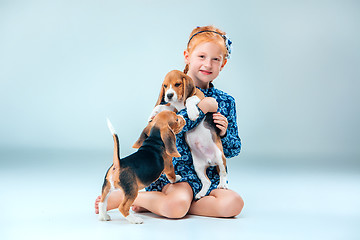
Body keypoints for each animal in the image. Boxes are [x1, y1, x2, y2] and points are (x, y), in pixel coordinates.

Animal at [150, 70, 229, 201]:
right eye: (165, 86)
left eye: (177, 84)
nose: (169, 95)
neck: (179, 102)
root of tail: (210, 161)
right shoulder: (174, 108)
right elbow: (164, 106)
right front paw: (153, 114)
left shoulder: (200, 96)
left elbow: (189, 99)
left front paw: (192, 113)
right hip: (198, 167)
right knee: (207, 182)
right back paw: (201, 193)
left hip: (220, 157)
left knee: (223, 174)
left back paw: (222, 184)